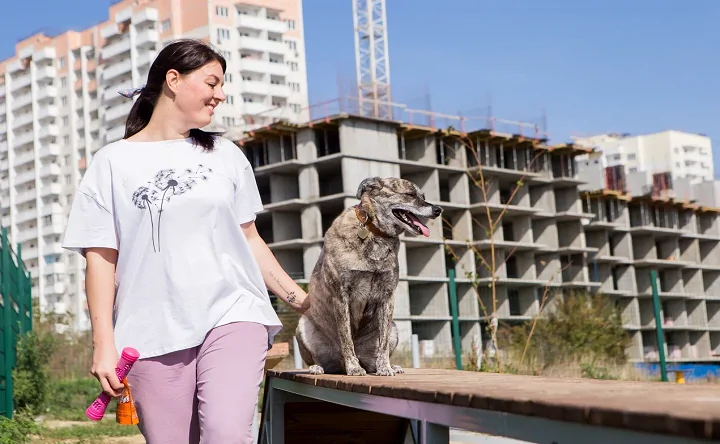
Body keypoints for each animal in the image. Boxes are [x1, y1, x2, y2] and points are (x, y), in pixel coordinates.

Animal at [295, 177, 443, 376]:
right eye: (410, 194)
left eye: (423, 196)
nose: (438, 210)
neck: (374, 232)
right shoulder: (341, 296)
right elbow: (346, 338)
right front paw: (354, 367)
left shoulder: (387, 297)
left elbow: (383, 344)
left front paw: (385, 367)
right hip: (303, 327)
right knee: (323, 362)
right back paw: (318, 367)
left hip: (394, 328)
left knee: (374, 356)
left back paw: (389, 366)